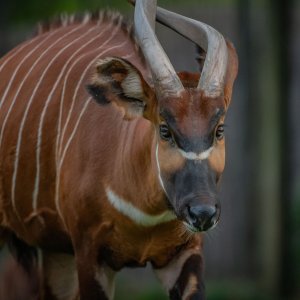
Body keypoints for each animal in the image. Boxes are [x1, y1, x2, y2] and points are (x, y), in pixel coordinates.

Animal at [0, 1, 238, 298]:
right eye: (165, 129)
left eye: (219, 129)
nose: (203, 213)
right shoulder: (90, 255)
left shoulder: (184, 253)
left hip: (56, 252)